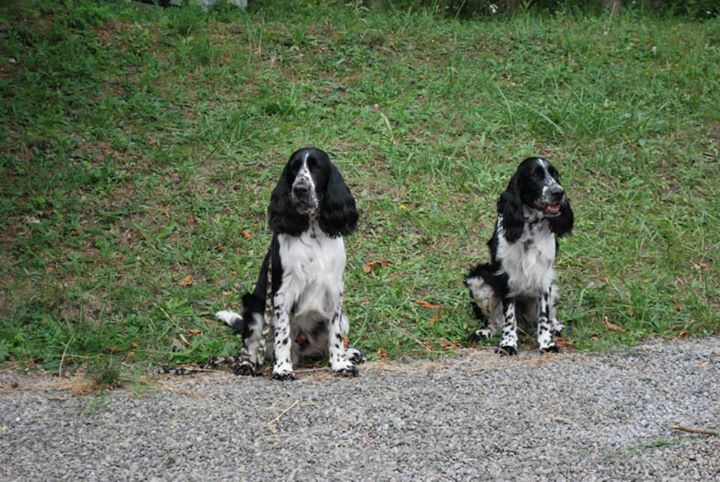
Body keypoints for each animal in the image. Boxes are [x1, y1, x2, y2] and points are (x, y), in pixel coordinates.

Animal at [215, 147, 362, 380]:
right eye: (293, 168)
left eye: (316, 167)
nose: (300, 189)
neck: (312, 230)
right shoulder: (283, 290)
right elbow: (282, 334)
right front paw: (282, 368)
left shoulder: (335, 288)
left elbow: (335, 335)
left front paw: (340, 364)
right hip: (254, 309)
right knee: (252, 348)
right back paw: (247, 365)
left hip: (342, 319)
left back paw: (349, 354)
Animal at [464, 157, 576, 354]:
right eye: (534, 176)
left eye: (555, 174)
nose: (558, 192)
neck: (529, 228)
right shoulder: (506, 275)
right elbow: (509, 318)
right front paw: (508, 344)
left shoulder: (544, 276)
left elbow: (544, 316)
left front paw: (546, 343)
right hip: (478, 278)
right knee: (495, 323)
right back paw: (484, 332)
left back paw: (555, 326)